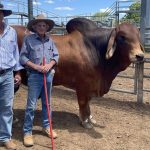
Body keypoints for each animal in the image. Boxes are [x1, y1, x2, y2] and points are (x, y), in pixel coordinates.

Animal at [12, 17, 144, 129]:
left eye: (138, 36)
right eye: (122, 37)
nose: (139, 56)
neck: (95, 49)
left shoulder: (91, 86)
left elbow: (88, 104)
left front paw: (90, 119)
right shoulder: (83, 86)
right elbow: (83, 103)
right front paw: (85, 122)